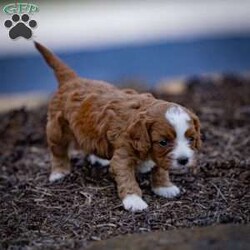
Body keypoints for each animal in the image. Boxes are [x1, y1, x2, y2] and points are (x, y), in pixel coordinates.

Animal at [35, 42, 201, 212]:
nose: (184, 160)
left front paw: (164, 187)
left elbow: (160, 168)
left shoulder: (158, 156)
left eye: (191, 139)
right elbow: (126, 177)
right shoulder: (123, 153)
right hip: (56, 128)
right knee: (58, 150)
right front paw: (134, 200)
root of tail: (71, 80)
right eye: (163, 142)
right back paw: (59, 172)